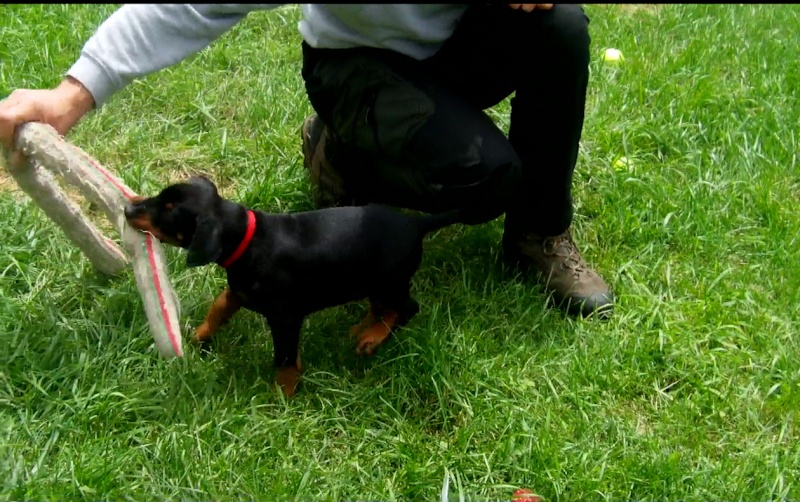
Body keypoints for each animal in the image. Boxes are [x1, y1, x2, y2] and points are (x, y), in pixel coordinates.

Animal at [122, 176, 466, 396]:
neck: (248, 240)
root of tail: (417, 223)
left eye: (169, 212)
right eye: (161, 197)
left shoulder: (285, 317)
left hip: (390, 281)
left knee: (406, 309)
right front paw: (199, 336)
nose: (128, 209)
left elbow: (284, 358)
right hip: (369, 279)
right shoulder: (240, 291)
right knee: (383, 307)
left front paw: (283, 396)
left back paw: (373, 336)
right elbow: (220, 305)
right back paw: (363, 328)